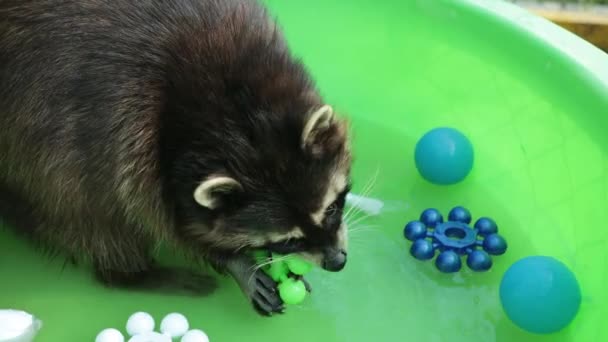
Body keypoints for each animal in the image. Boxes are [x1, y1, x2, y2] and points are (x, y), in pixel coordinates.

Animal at [0, 0, 352, 316]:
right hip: (40, 154)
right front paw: (231, 258)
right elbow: (168, 216)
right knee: (89, 217)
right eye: (288, 241)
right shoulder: (121, 138)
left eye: (331, 209)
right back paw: (131, 274)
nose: (338, 262)